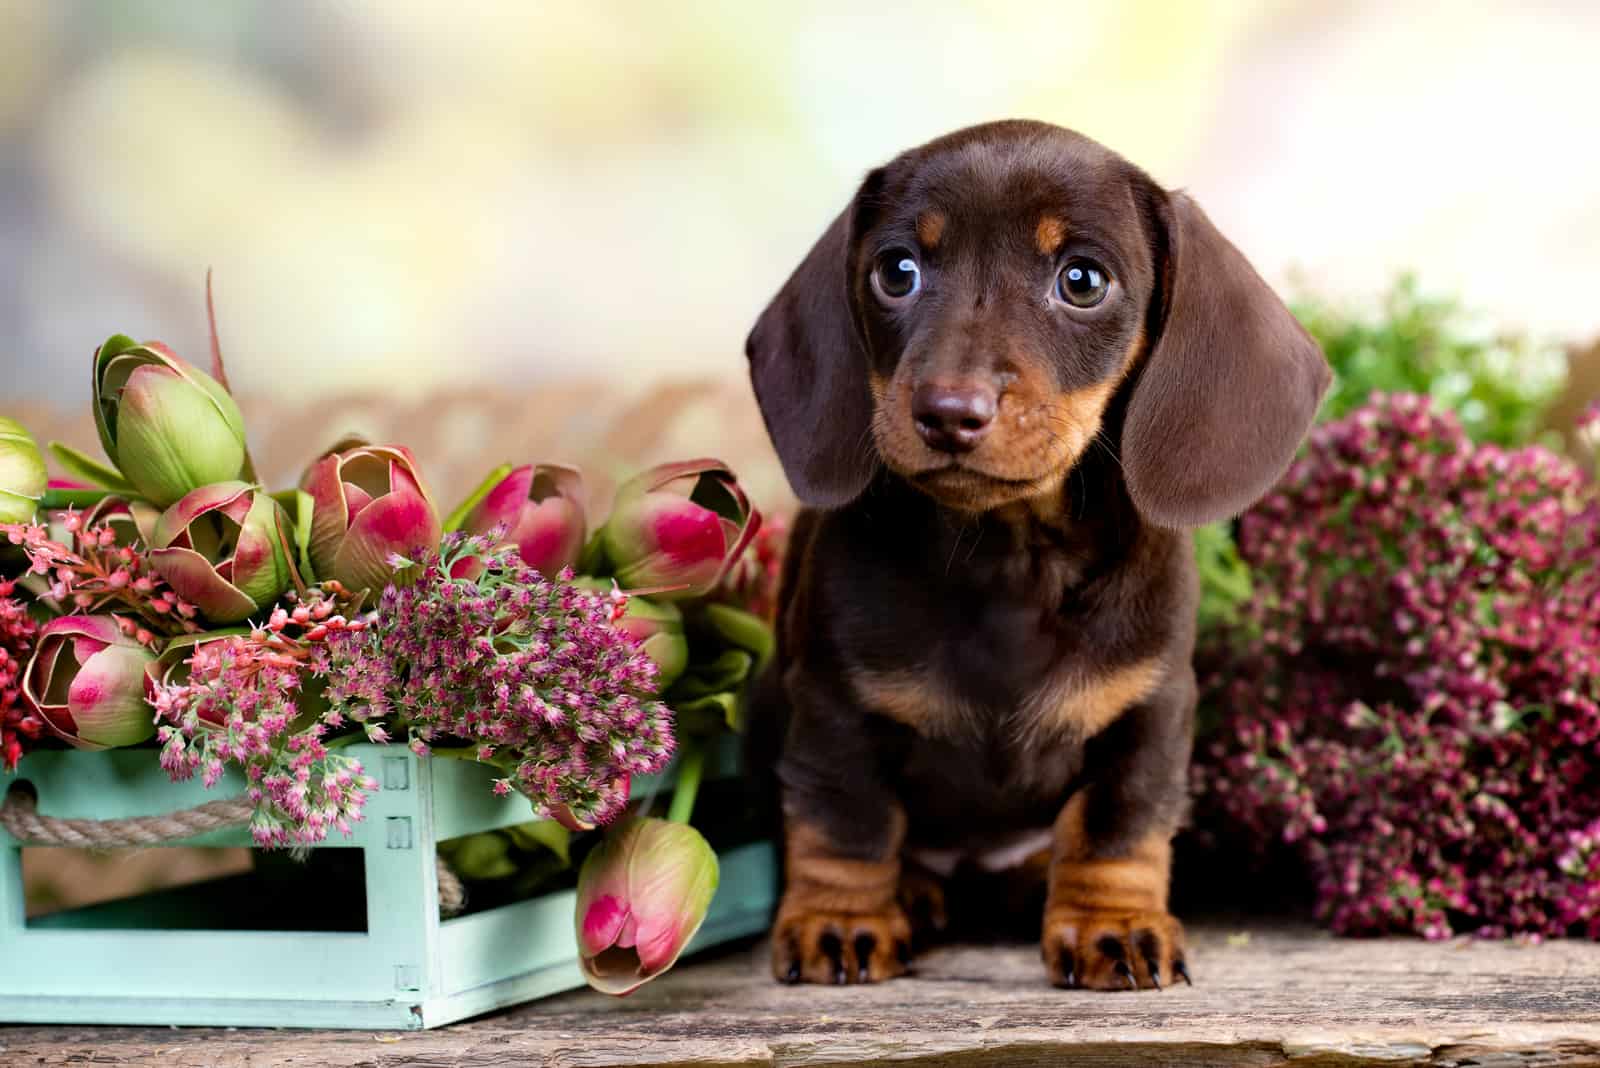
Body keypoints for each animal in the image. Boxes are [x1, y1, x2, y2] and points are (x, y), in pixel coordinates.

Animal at [742, 120, 1331, 991]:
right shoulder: (832, 706)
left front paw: (1113, 925)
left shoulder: (1149, 712)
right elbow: (846, 819)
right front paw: (842, 919)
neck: (1006, 558)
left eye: (1082, 281)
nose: (949, 412)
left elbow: (1117, 824)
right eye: (897, 271)